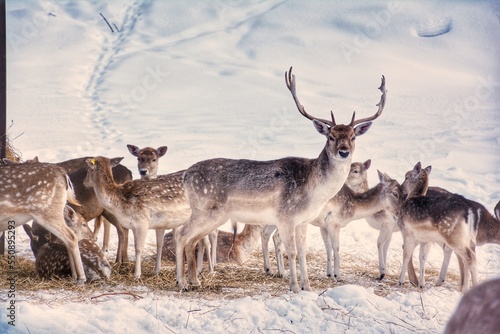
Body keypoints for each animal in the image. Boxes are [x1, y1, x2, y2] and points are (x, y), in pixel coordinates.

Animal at [84, 157, 213, 280]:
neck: (119, 202)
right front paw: (156, 272)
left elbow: (138, 249)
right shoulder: (145, 225)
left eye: (89, 169)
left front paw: (137, 275)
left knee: (207, 242)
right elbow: (157, 245)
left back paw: (210, 271)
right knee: (199, 240)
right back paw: (199, 270)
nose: (84, 182)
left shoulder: (142, 222)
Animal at [176, 68, 386, 292]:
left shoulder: (303, 221)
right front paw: (293, 286)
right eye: (331, 136)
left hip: (214, 215)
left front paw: (307, 287)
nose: (344, 151)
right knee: (182, 235)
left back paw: (193, 280)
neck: (314, 192)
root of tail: (186, 175)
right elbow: (291, 252)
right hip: (205, 210)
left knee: (191, 239)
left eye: (353, 136)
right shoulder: (286, 216)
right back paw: (182, 282)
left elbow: (302, 253)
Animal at [396, 162, 478, 292]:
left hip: (452, 235)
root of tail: (468, 214)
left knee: (470, 256)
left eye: (406, 177)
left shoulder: (407, 231)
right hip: (464, 237)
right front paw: (421, 284)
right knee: (465, 259)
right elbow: (422, 257)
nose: (401, 189)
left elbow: (406, 255)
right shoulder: (424, 239)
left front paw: (400, 282)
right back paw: (464, 288)